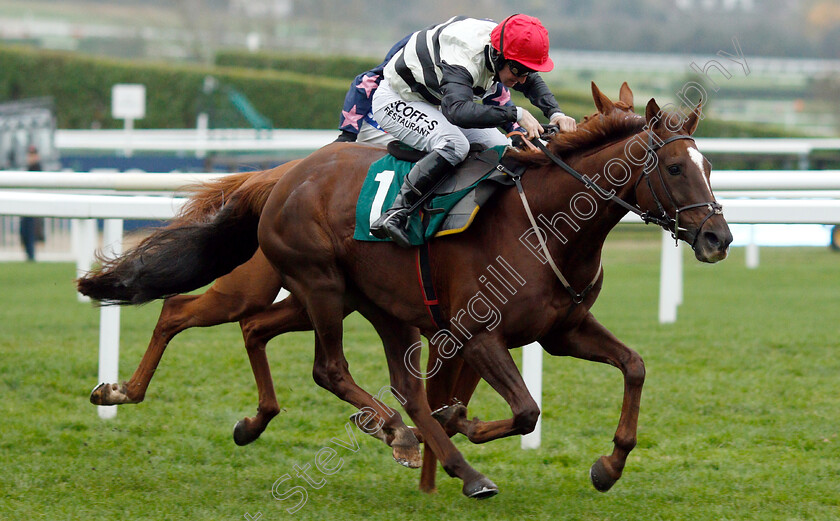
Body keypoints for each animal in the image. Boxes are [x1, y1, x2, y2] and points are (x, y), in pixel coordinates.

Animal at [82, 92, 732, 496]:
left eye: (709, 167)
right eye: (675, 168)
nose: (718, 238)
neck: (545, 225)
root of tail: (283, 173)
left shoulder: (562, 331)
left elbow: (634, 366)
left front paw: (608, 466)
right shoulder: (476, 333)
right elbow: (525, 410)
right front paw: (464, 423)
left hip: (358, 302)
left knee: (332, 360)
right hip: (316, 286)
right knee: (296, 354)